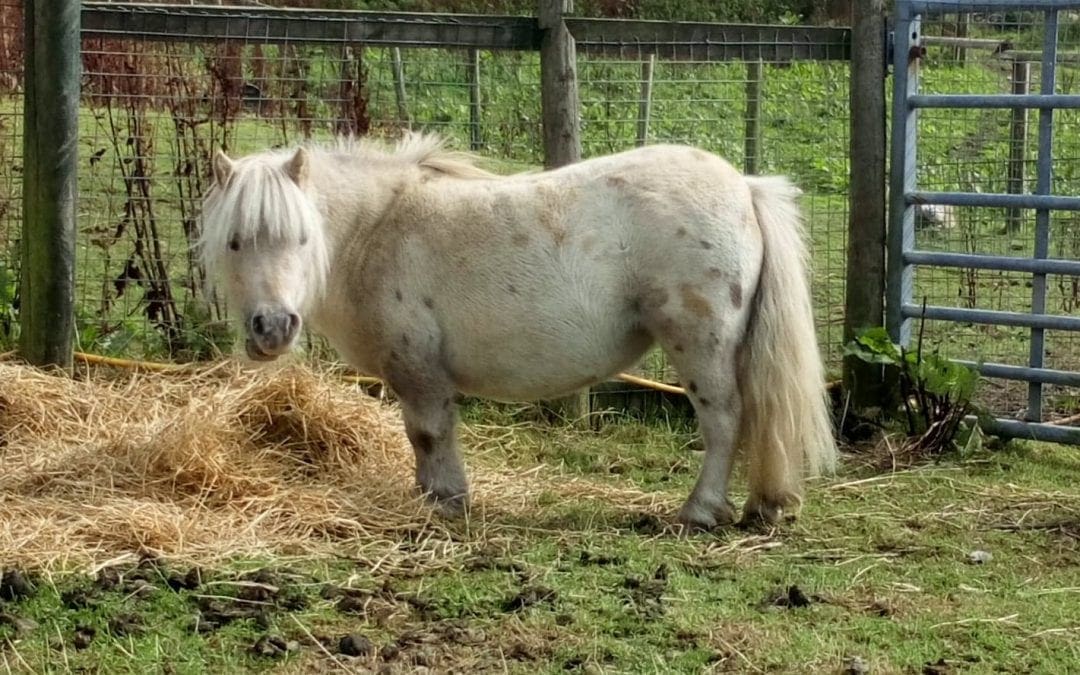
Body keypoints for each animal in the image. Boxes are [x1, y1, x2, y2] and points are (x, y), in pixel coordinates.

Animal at [204, 134, 842, 529]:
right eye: (235, 242)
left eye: (301, 237)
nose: (273, 327)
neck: (377, 229)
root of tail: (744, 187)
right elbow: (427, 438)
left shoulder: (418, 371)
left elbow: (428, 434)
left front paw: (444, 502)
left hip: (700, 346)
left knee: (725, 421)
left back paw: (701, 510)